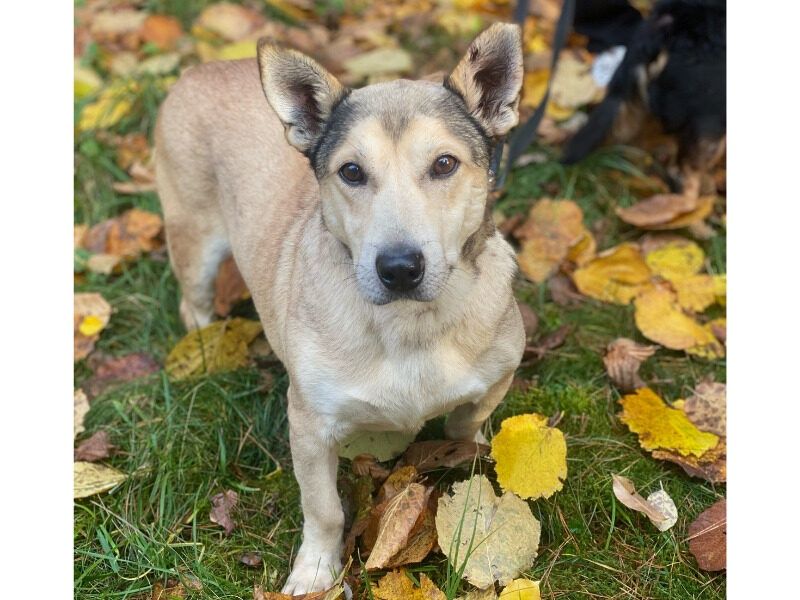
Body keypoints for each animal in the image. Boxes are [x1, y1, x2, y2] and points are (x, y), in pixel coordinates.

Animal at [157, 24, 528, 596]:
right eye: (351, 171)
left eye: (444, 163)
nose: (399, 267)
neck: (409, 325)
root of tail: (204, 66)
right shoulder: (309, 426)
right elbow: (324, 508)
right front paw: (316, 571)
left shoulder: (497, 375)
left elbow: (466, 424)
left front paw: (470, 459)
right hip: (193, 240)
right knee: (191, 300)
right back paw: (203, 349)